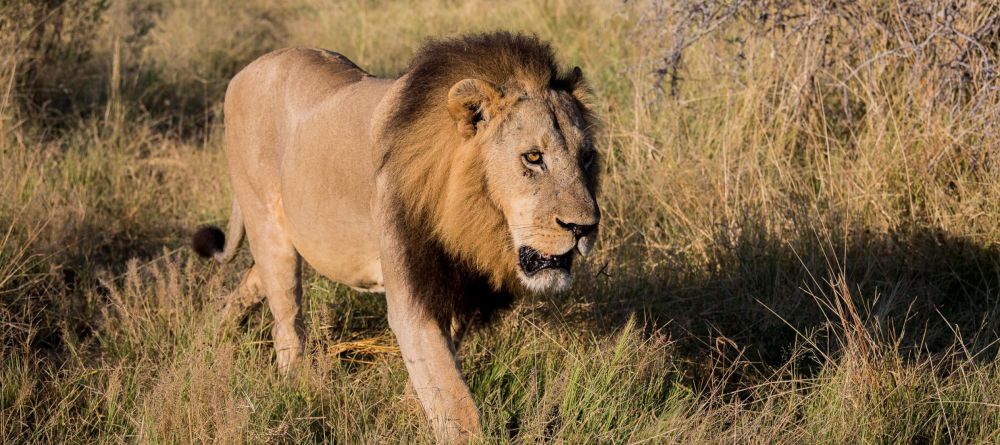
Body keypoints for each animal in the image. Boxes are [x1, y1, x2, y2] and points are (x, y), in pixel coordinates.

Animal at [193, 31, 600, 440]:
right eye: (533, 157)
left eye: (586, 158)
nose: (585, 227)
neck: (472, 217)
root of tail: (248, 69)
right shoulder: (411, 293)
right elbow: (456, 400)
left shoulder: (454, 284)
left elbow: (437, 375)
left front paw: (406, 413)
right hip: (267, 224)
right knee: (286, 319)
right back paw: (299, 387)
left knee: (252, 282)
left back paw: (217, 335)